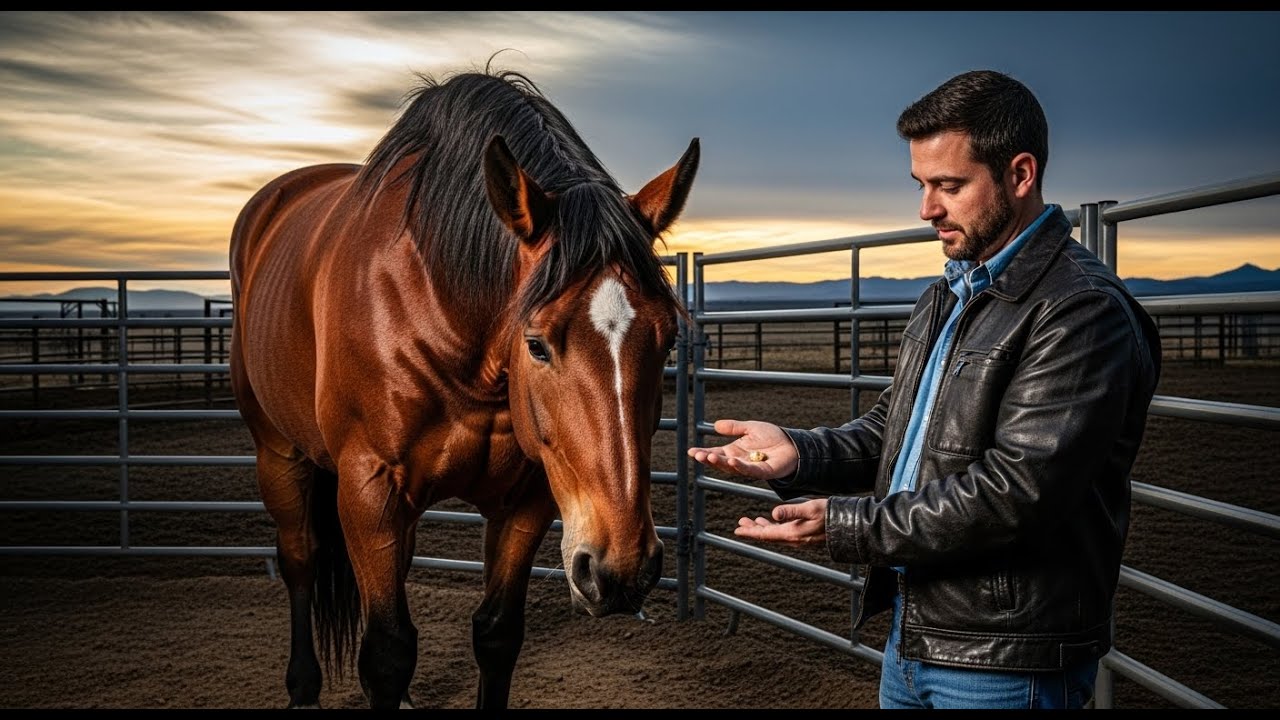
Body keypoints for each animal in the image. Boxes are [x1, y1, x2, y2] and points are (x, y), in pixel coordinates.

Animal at [227, 68, 699, 709]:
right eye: (536, 344)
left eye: (670, 339)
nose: (621, 570)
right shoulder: (370, 489)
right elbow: (387, 653)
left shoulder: (526, 500)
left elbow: (496, 635)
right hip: (278, 452)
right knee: (300, 557)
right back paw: (303, 687)